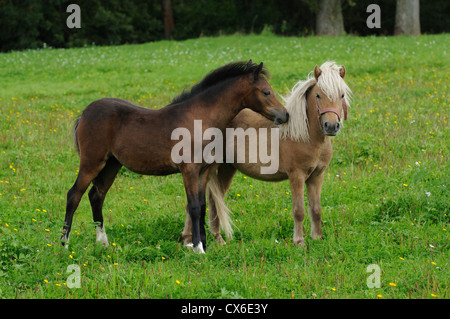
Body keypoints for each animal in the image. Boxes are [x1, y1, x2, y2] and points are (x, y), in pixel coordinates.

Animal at [60, 60, 288, 254]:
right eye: (266, 91)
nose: (285, 115)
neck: (200, 119)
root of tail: (85, 112)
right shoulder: (189, 170)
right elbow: (194, 207)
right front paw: (198, 248)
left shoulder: (203, 172)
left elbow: (202, 206)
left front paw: (202, 244)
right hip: (91, 163)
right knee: (74, 195)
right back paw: (64, 244)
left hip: (112, 165)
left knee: (96, 196)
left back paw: (103, 243)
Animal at [182, 62, 352, 248]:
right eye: (318, 95)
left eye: (342, 95)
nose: (331, 126)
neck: (305, 135)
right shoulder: (297, 176)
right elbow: (299, 210)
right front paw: (299, 242)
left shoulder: (317, 176)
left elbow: (316, 209)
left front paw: (317, 238)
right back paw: (188, 240)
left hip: (227, 168)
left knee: (214, 199)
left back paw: (217, 238)